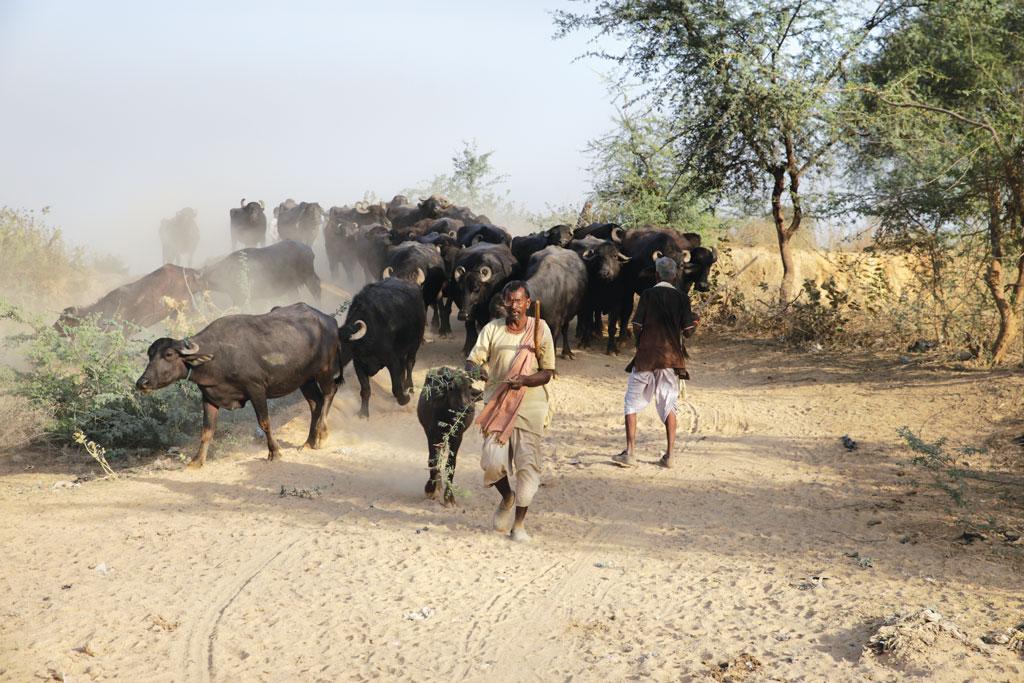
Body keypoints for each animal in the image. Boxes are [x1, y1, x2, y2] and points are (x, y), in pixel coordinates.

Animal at [134, 305, 342, 471]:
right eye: (150, 355)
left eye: (169, 354)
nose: (142, 382)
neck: (219, 355)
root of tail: (329, 320)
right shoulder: (209, 397)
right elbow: (206, 431)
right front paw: (196, 461)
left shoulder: (256, 389)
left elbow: (264, 422)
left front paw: (274, 452)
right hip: (305, 379)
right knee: (315, 403)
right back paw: (309, 442)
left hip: (325, 369)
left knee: (329, 393)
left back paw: (322, 434)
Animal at [337, 276, 425, 417]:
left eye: (340, 347)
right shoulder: (358, 364)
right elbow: (365, 390)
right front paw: (363, 413)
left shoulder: (391, 360)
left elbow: (396, 388)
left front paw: (405, 399)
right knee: (403, 367)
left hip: (415, 343)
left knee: (410, 363)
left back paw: (409, 387)